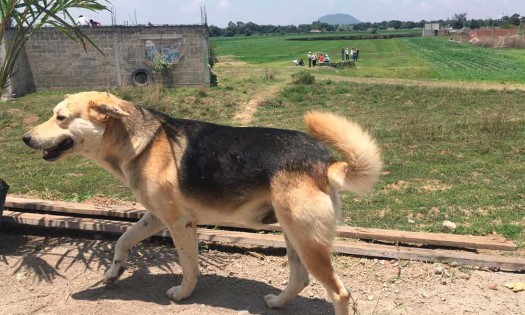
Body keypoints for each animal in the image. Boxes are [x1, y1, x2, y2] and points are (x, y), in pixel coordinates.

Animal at [22, 90, 380, 314]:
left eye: (60, 117)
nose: (25, 138)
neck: (140, 143)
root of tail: (324, 159)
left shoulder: (179, 224)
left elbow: (189, 266)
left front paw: (183, 294)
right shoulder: (154, 217)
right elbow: (123, 240)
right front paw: (114, 272)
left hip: (305, 239)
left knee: (339, 292)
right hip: (293, 234)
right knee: (301, 279)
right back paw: (278, 303)